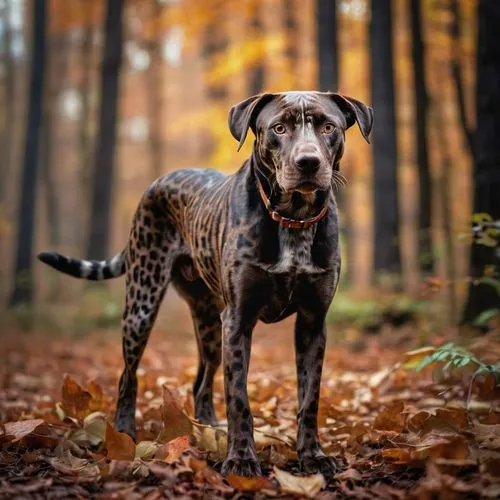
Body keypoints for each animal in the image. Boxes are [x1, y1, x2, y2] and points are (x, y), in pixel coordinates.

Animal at [39, 92, 374, 478]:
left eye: (328, 126)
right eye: (279, 128)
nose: (308, 162)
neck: (294, 220)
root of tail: (159, 181)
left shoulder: (312, 322)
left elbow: (309, 398)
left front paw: (312, 456)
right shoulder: (239, 321)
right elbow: (239, 398)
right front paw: (241, 459)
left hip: (210, 323)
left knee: (201, 381)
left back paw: (209, 428)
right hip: (142, 305)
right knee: (128, 376)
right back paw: (124, 432)